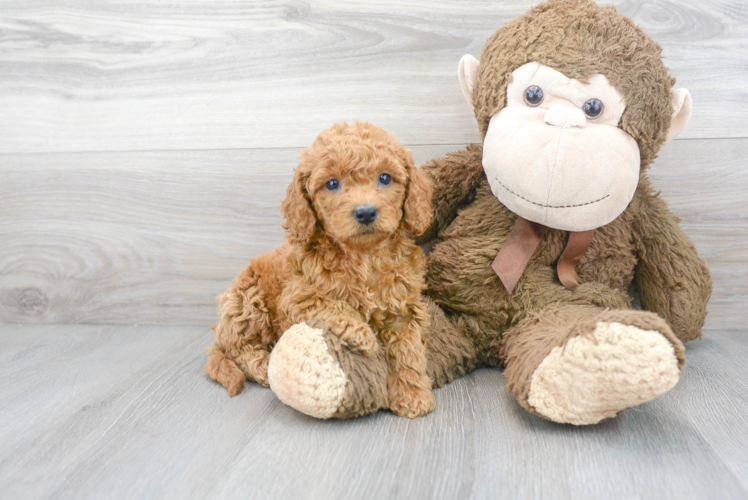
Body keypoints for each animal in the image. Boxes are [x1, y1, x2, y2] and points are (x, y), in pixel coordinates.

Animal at [207, 121, 436, 418]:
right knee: (238, 348)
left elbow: (409, 350)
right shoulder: (296, 299)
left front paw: (412, 394)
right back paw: (263, 365)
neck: (363, 256)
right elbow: (335, 304)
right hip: (246, 300)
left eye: (385, 178)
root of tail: (221, 327)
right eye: (332, 183)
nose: (365, 212)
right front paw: (362, 333)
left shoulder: (404, 307)